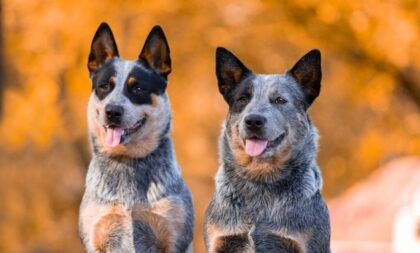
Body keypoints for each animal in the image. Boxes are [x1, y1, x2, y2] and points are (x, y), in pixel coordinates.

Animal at [78, 22, 194, 253]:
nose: (113, 111)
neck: (127, 161)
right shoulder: (97, 235)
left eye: (138, 88)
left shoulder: (173, 236)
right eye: (104, 86)